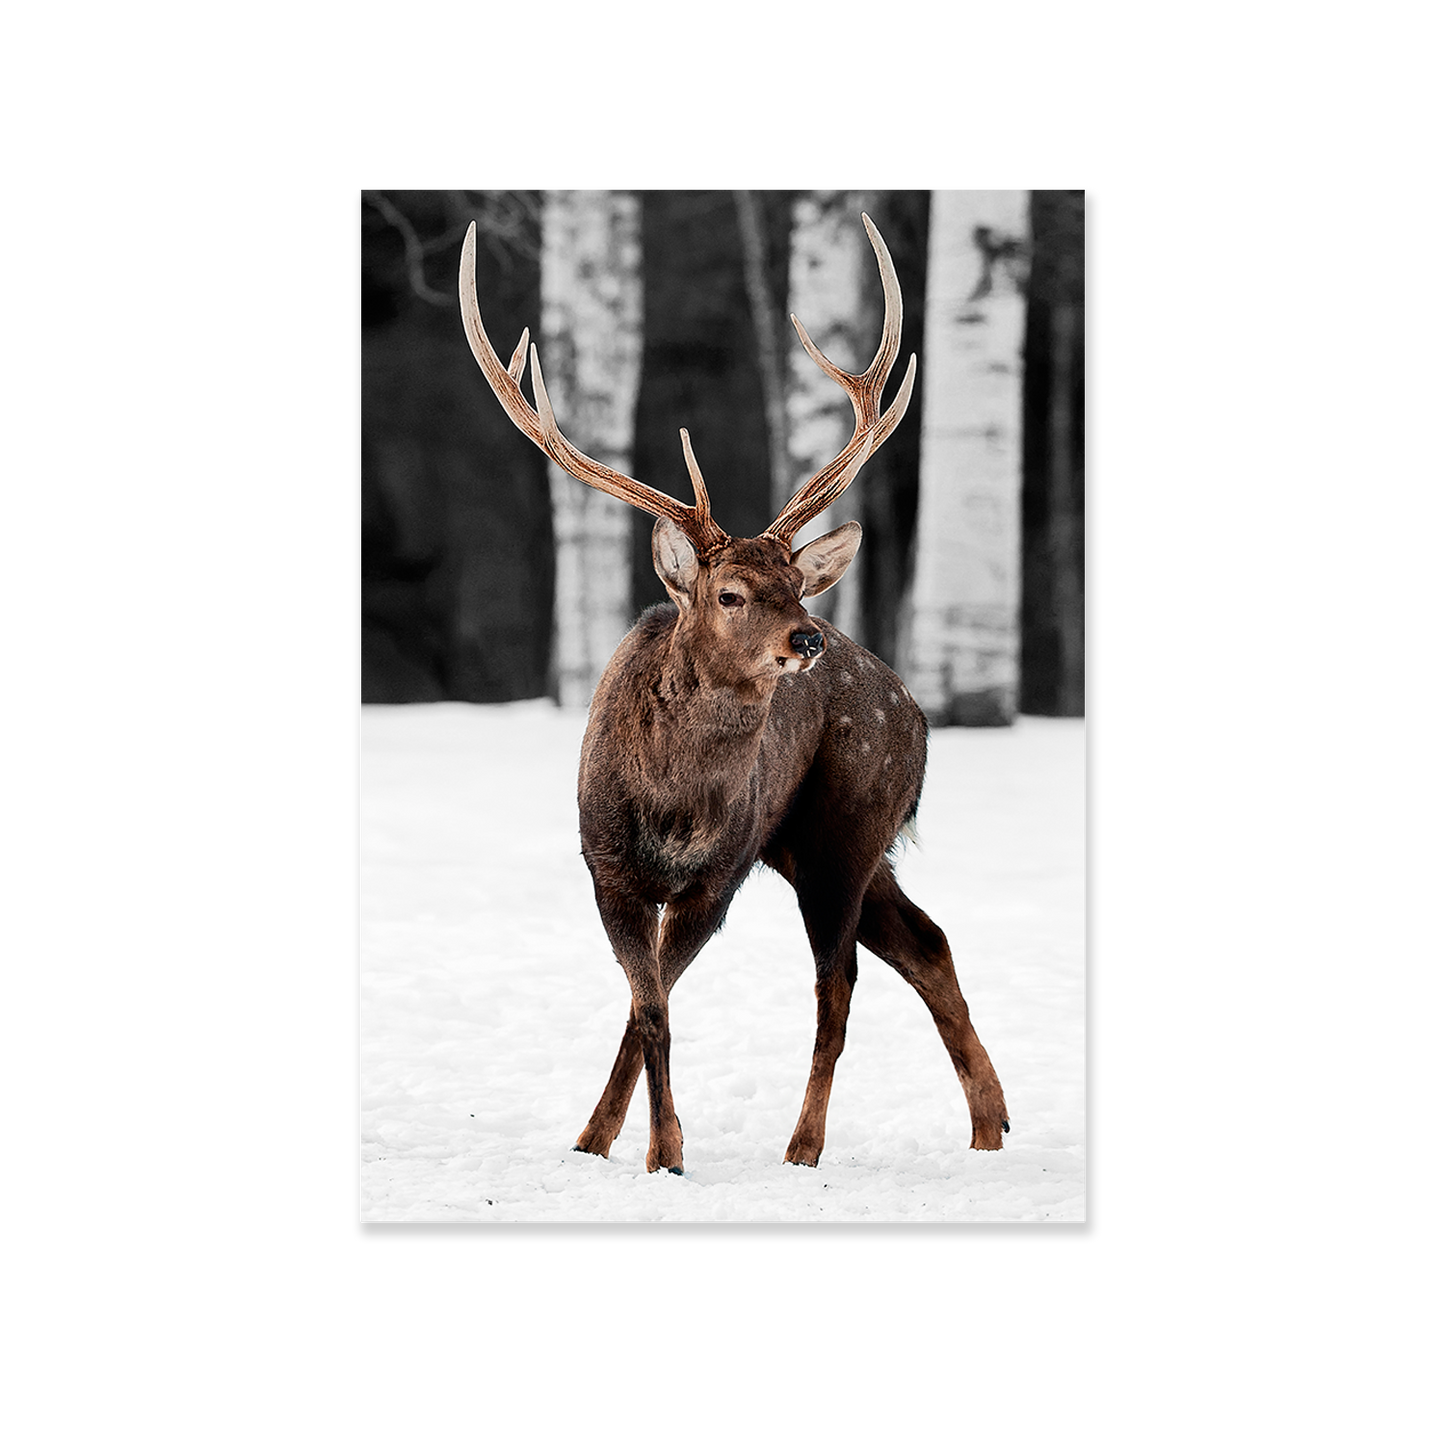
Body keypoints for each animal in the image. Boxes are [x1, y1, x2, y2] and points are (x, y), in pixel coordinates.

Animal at [459, 212, 1008, 1173]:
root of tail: (914, 711)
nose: (808, 637)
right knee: (925, 941)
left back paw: (805, 1145)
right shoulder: (606, 866)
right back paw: (988, 1125)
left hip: (842, 829)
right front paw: (602, 1141)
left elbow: (655, 1003)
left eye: (794, 583)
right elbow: (646, 1005)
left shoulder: (717, 875)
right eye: (729, 593)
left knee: (839, 984)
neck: (672, 808)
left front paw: (662, 1150)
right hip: (818, 843)